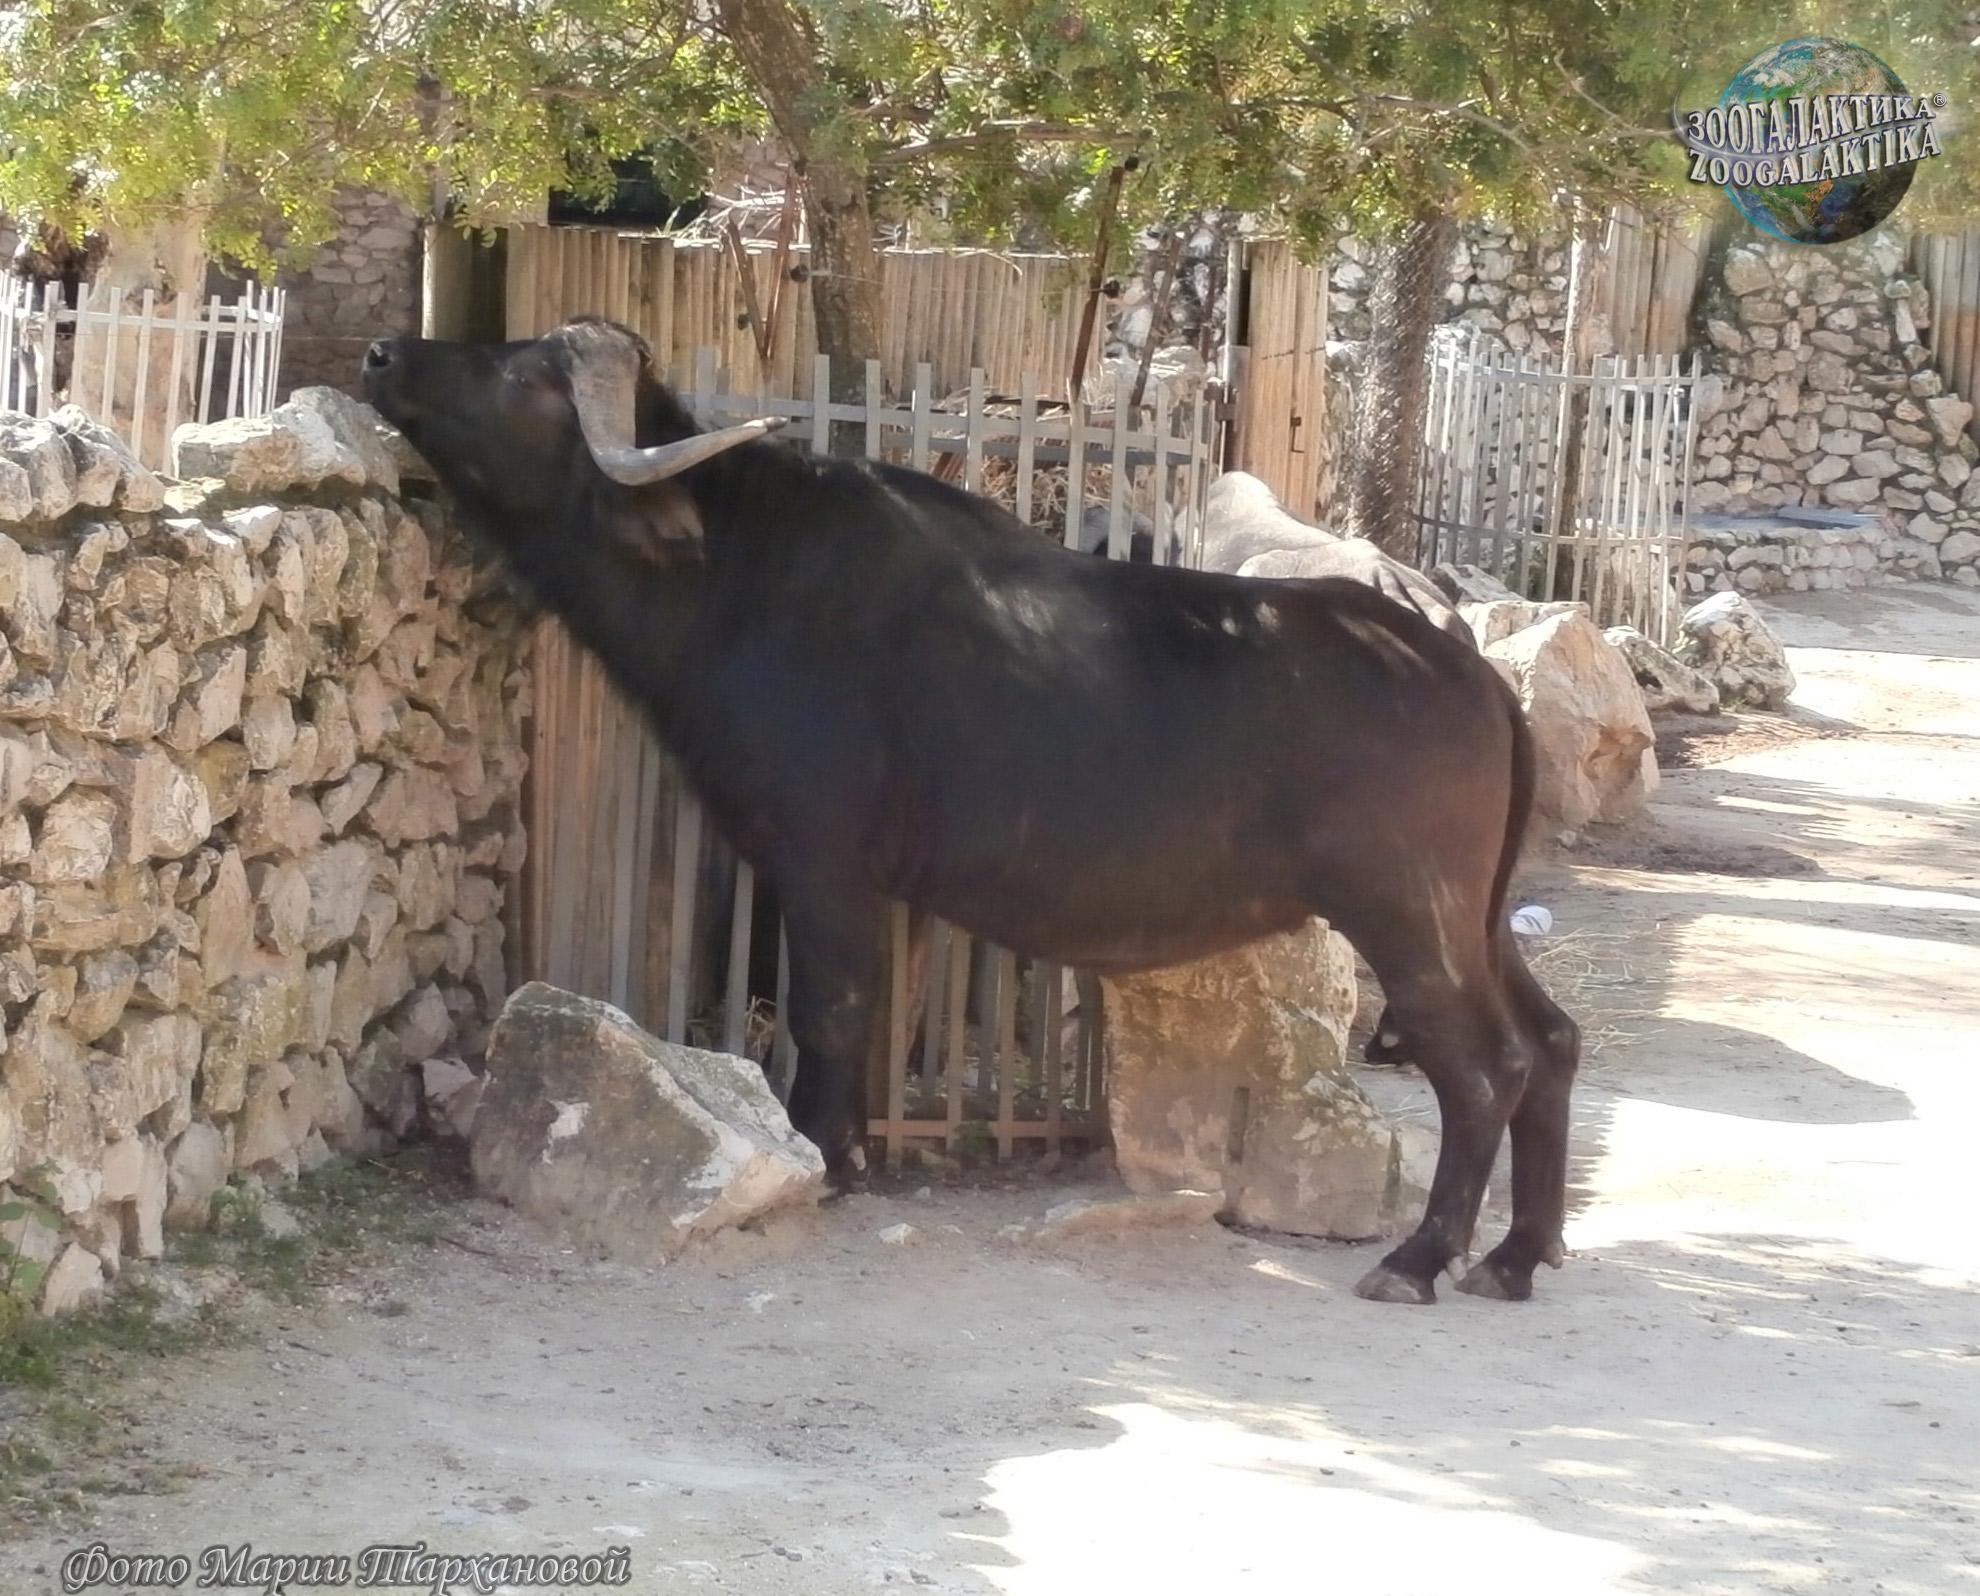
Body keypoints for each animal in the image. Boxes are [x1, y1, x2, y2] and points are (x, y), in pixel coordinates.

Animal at [362, 318, 1580, 1305]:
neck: (746, 574)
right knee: (1554, 1039)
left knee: (1487, 1066)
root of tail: (1469, 672)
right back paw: (1518, 1256)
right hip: (1475, 919)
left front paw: (827, 1154)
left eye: (532, 375)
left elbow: (831, 1010)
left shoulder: (821, 861)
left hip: (1408, 917)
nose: (383, 355)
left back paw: (1421, 1259)